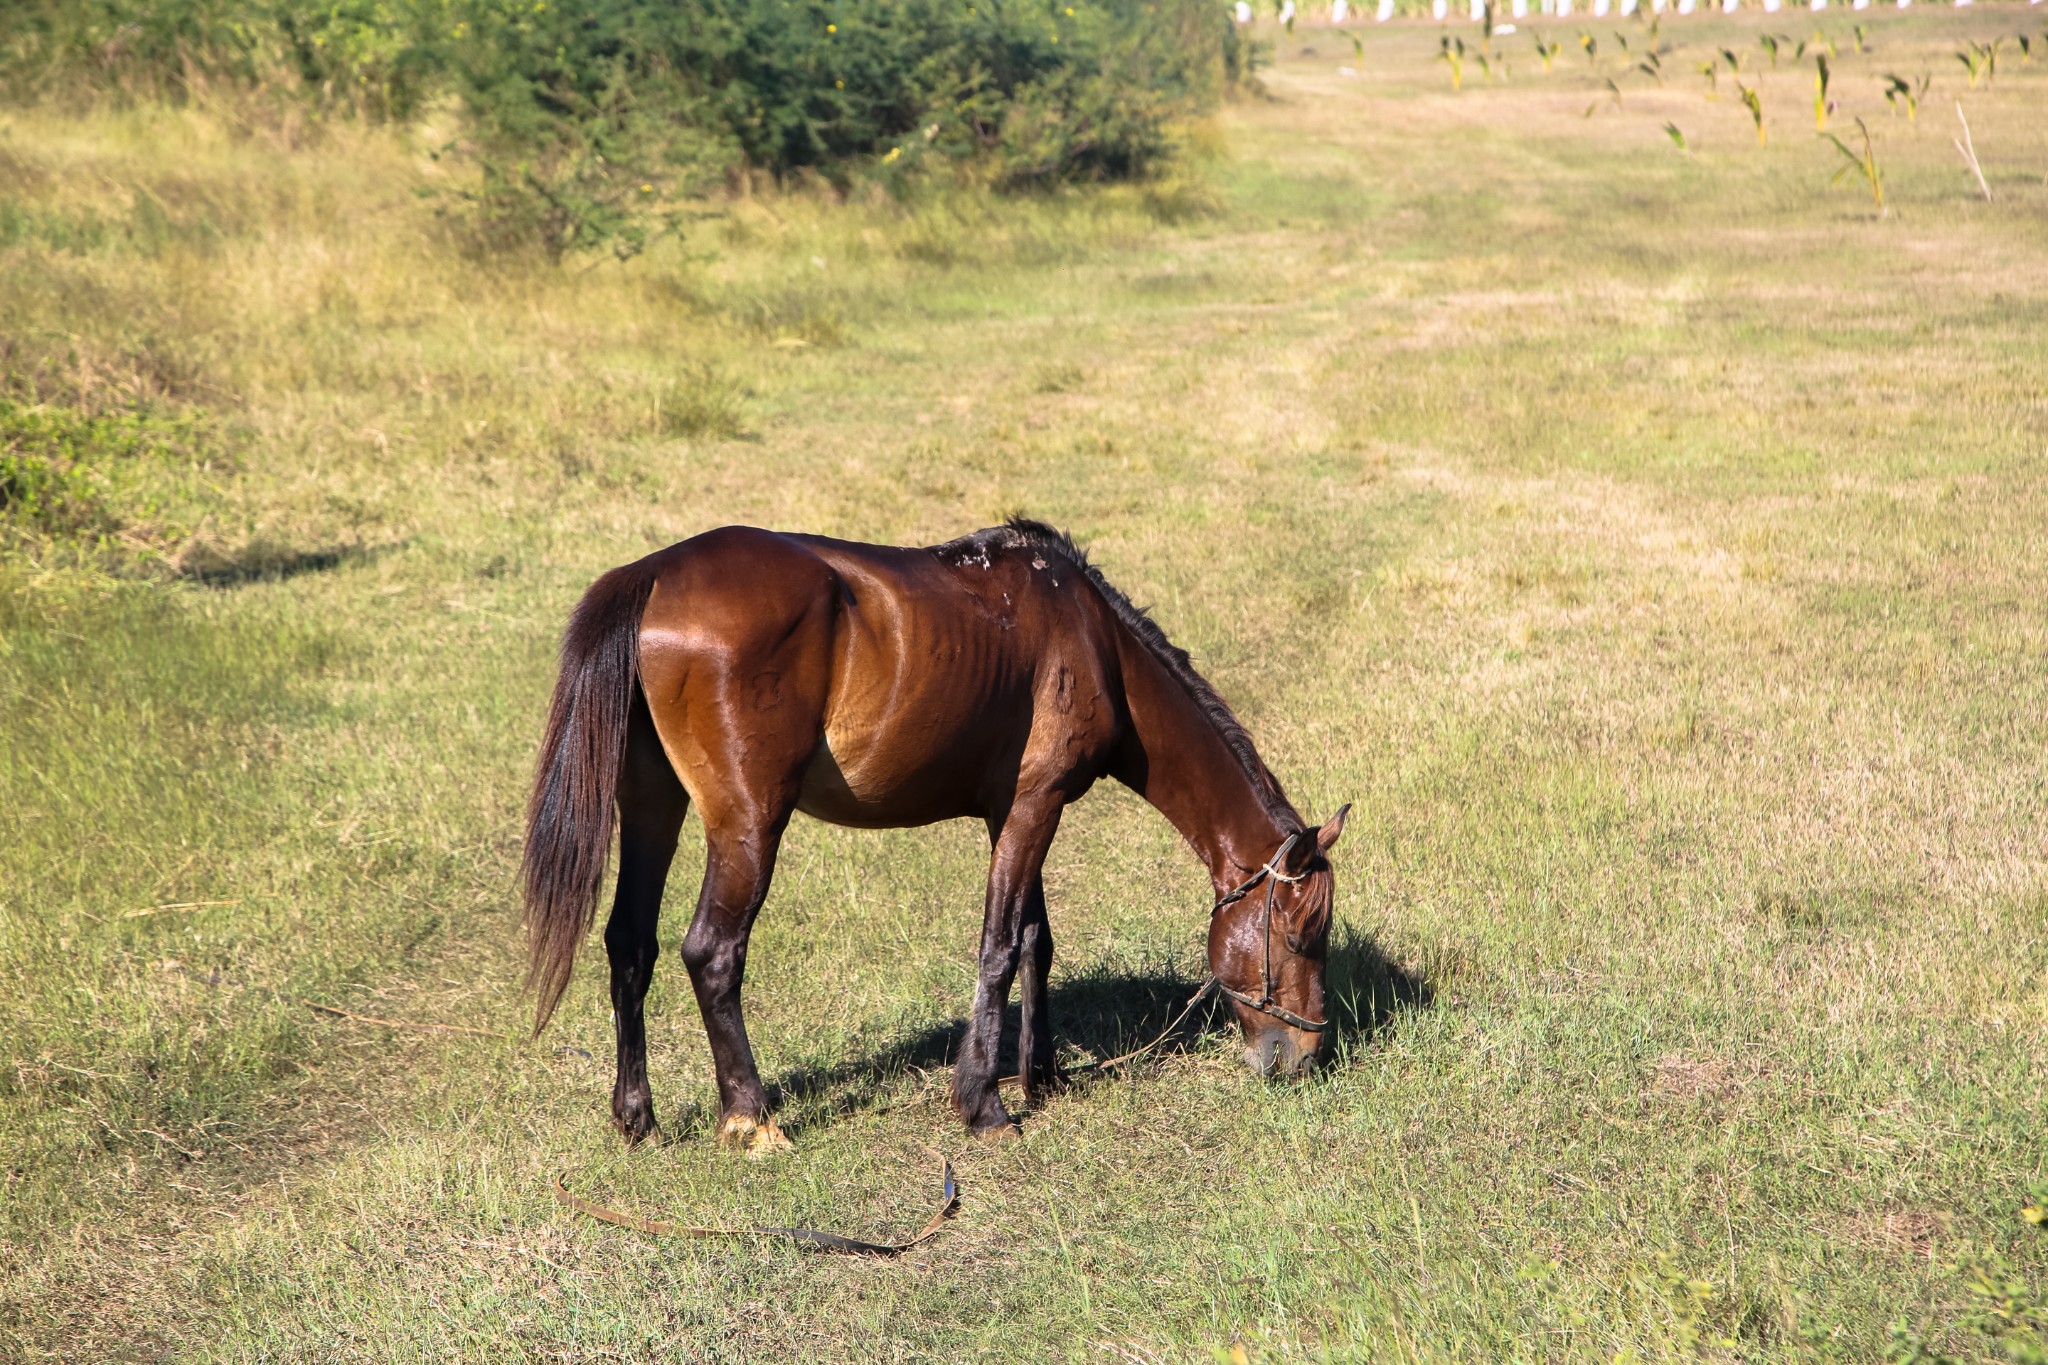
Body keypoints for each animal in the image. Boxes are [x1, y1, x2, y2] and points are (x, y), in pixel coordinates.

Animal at [520, 523, 1343, 1154]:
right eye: (1301, 934)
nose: (1306, 1057)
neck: (1094, 641)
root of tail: (655, 573)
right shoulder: (1036, 804)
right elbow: (1000, 948)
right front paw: (983, 1101)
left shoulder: (1011, 812)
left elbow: (1036, 938)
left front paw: (1040, 1073)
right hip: (748, 823)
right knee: (711, 953)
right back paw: (752, 1118)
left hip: (651, 804)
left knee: (631, 944)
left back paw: (638, 1118)